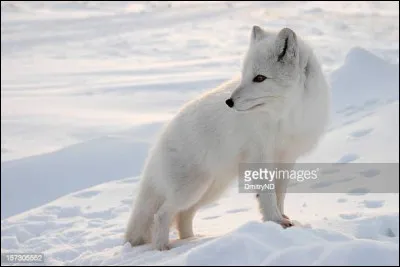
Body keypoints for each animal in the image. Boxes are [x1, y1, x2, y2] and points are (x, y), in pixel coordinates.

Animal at [126, 25, 332, 251]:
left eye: (259, 78)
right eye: (244, 75)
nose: (229, 102)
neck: (285, 116)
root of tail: (160, 140)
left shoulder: (286, 158)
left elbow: (279, 194)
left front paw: (282, 221)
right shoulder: (260, 158)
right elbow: (267, 196)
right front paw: (275, 221)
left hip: (211, 190)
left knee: (182, 216)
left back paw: (191, 241)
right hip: (191, 190)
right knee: (162, 214)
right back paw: (163, 247)